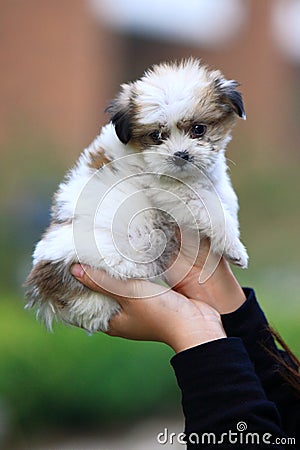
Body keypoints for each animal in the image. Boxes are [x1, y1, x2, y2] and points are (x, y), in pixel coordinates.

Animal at [25, 59, 248, 334]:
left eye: (199, 129)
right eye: (156, 136)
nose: (181, 154)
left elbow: (224, 194)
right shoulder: (171, 189)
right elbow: (210, 209)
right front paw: (234, 248)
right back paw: (98, 309)